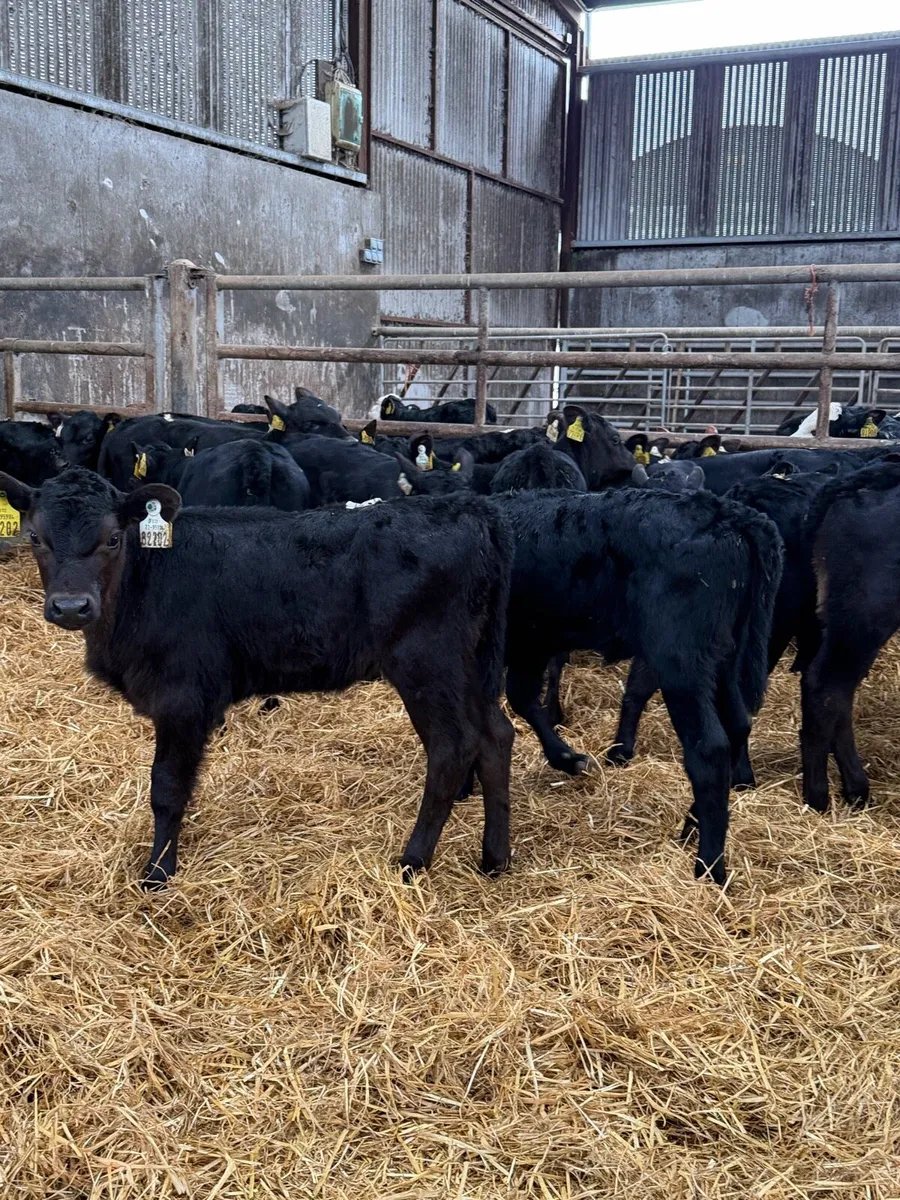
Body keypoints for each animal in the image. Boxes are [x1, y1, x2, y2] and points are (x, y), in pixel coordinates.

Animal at [0, 467, 515, 886]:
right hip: (470, 666)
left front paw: (158, 873)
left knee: (453, 747)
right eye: (36, 538)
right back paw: (495, 859)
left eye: (112, 539)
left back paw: (414, 860)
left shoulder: (182, 698)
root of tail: (470, 508)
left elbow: (166, 789)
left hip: (427, 662)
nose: (71, 607)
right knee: (496, 736)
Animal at [495, 489, 783, 883]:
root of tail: (733, 514)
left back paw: (709, 866)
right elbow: (521, 698)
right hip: (723, 655)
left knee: (709, 749)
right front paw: (568, 758)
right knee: (738, 723)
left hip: (680, 661)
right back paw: (691, 825)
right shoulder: (532, 643)